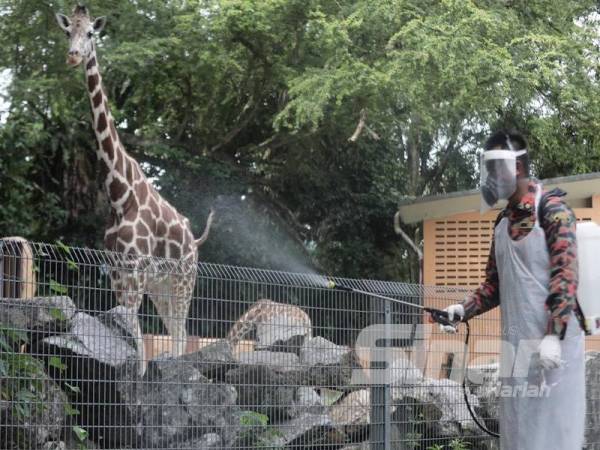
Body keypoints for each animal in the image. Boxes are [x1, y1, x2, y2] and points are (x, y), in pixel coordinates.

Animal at [54, 5, 213, 374]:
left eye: (90, 33)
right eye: (68, 32)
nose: (73, 56)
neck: (119, 193)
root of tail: (194, 241)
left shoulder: (135, 270)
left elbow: (138, 342)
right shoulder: (116, 271)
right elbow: (131, 334)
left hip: (184, 281)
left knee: (182, 332)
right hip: (161, 286)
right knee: (175, 331)